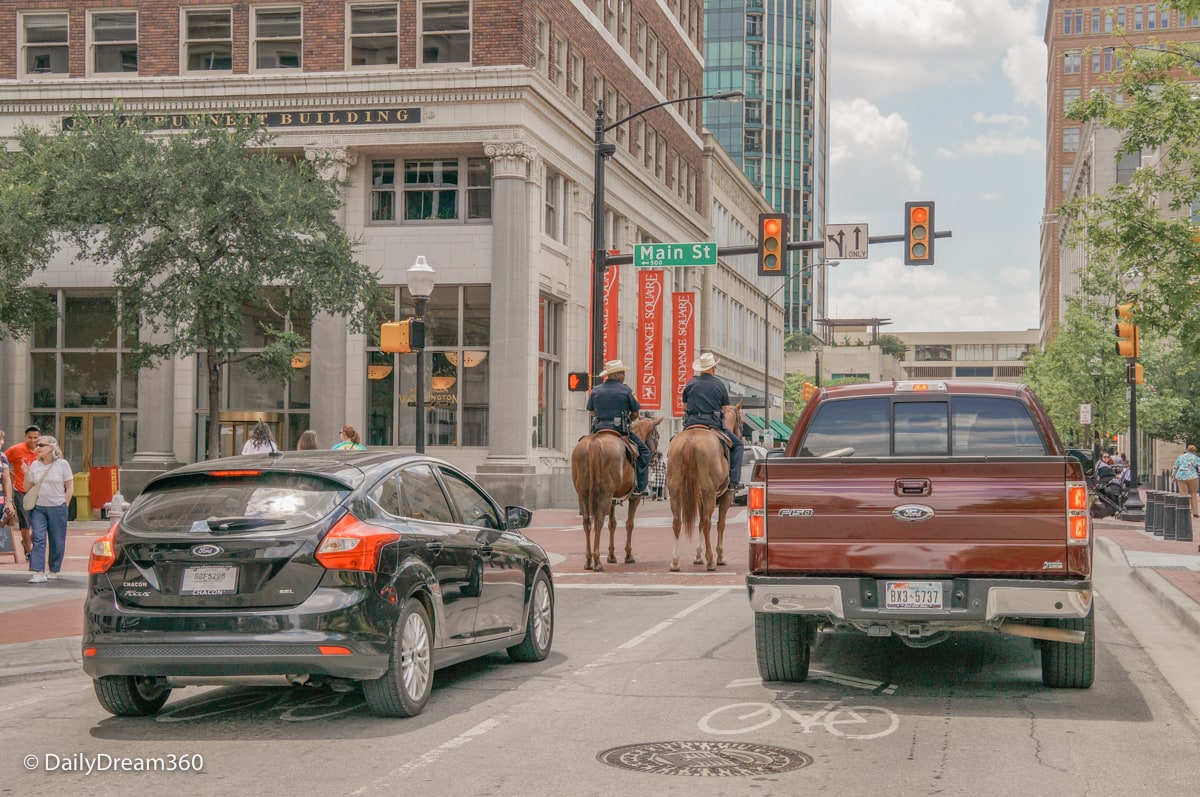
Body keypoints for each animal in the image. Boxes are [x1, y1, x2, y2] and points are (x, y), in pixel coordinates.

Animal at [571, 420, 667, 568]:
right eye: (657, 435)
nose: (654, 458)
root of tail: (594, 443)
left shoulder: (612, 500)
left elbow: (612, 524)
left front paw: (611, 556)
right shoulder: (633, 498)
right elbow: (629, 523)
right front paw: (628, 555)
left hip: (583, 495)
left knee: (587, 522)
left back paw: (588, 560)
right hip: (604, 494)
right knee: (599, 521)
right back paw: (597, 561)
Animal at [667, 400, 739, 568]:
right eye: (741, 422)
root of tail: (690, 441)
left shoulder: (699, 496)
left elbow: (699, 523)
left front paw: (698, 555)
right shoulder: (726, 495)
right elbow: (720, 524)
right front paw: (719, 556)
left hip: (675, 491)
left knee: (677, 521)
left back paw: (675, 561)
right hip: (709, 493)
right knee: (707, 522)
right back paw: (711, 560)